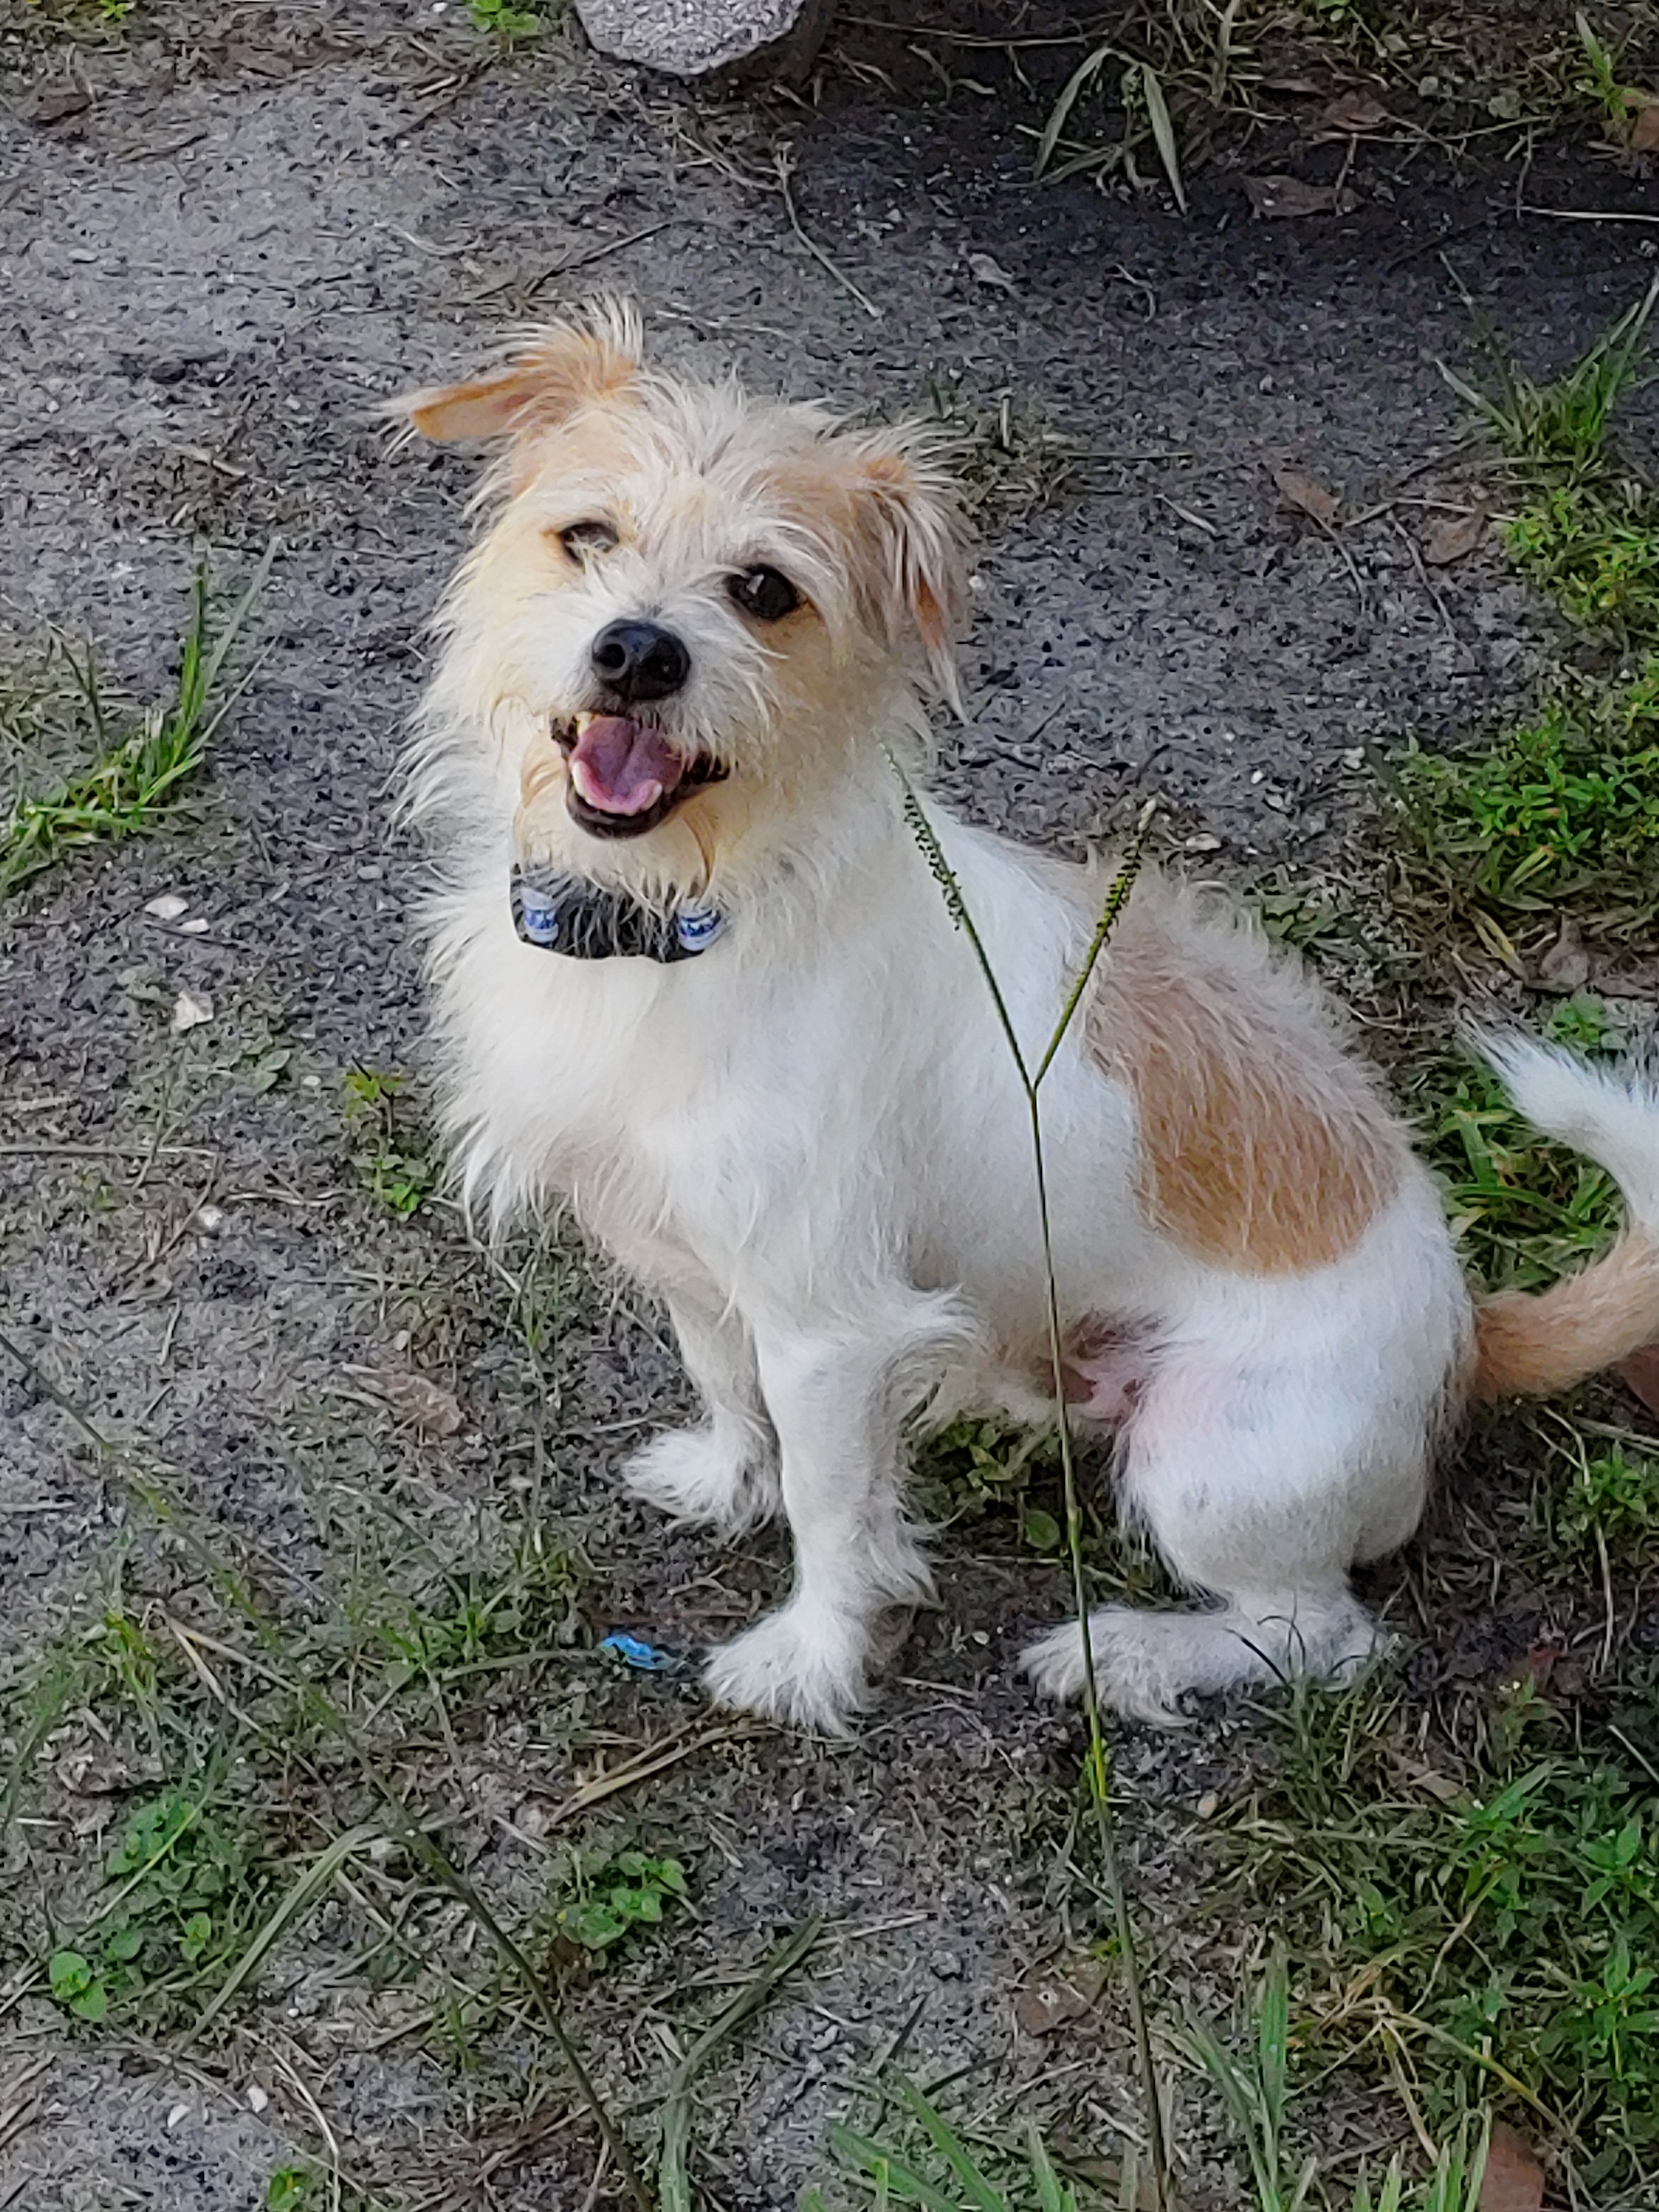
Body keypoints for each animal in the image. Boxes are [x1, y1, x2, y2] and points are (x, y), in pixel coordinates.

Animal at [393, 307, 1659, 1725]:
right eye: (588, 535)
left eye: (764, 591)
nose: (636, 651)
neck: (682, 913)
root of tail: (1469, 1334)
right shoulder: (697, 1257)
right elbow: (725, 1382)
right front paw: (727, 1479)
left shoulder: (824, 1327)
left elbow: (828, 1507)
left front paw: (813, 1658)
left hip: (1206, 1460)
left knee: (1319, 1636)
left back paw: (1120, 1654)